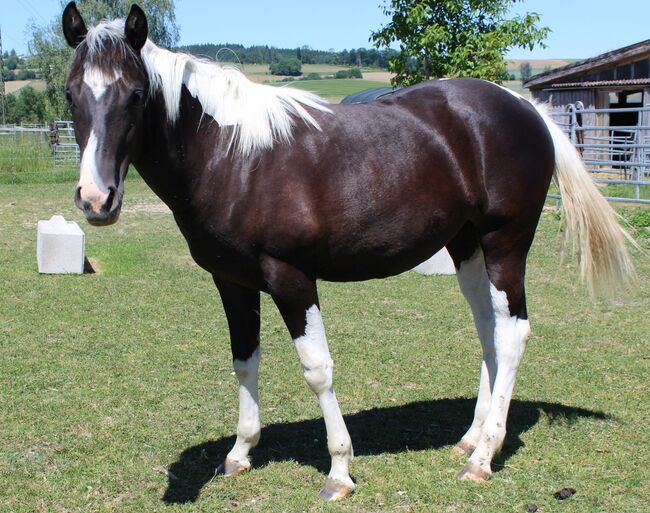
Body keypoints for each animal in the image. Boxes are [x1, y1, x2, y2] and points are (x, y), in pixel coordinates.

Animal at [61, 2, 634, 500]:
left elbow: (317, 368)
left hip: (504, 244)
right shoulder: (233, 281)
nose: (95, 199)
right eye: (70, 95)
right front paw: (240, 453)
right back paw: (470, 439)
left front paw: (339, 470)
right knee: (489, 330)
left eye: (137, 94)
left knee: (512, 333)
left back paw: (483, 457)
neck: (233, 158)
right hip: (467, 248)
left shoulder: (290, 277)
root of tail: (522, 105)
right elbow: (244, 361)